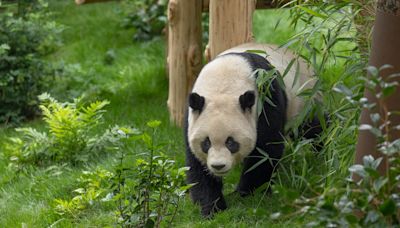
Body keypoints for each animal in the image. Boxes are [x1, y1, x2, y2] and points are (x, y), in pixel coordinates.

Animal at [184, 42, 322, 217]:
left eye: (231, 142)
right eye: (206, 143)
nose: (218, 166)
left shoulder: (266, 97)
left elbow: (265, 150)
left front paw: (247, 193)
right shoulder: (192, 116)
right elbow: (197, 165)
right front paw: (212, 207)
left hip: (304, 101)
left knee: (313, 128)